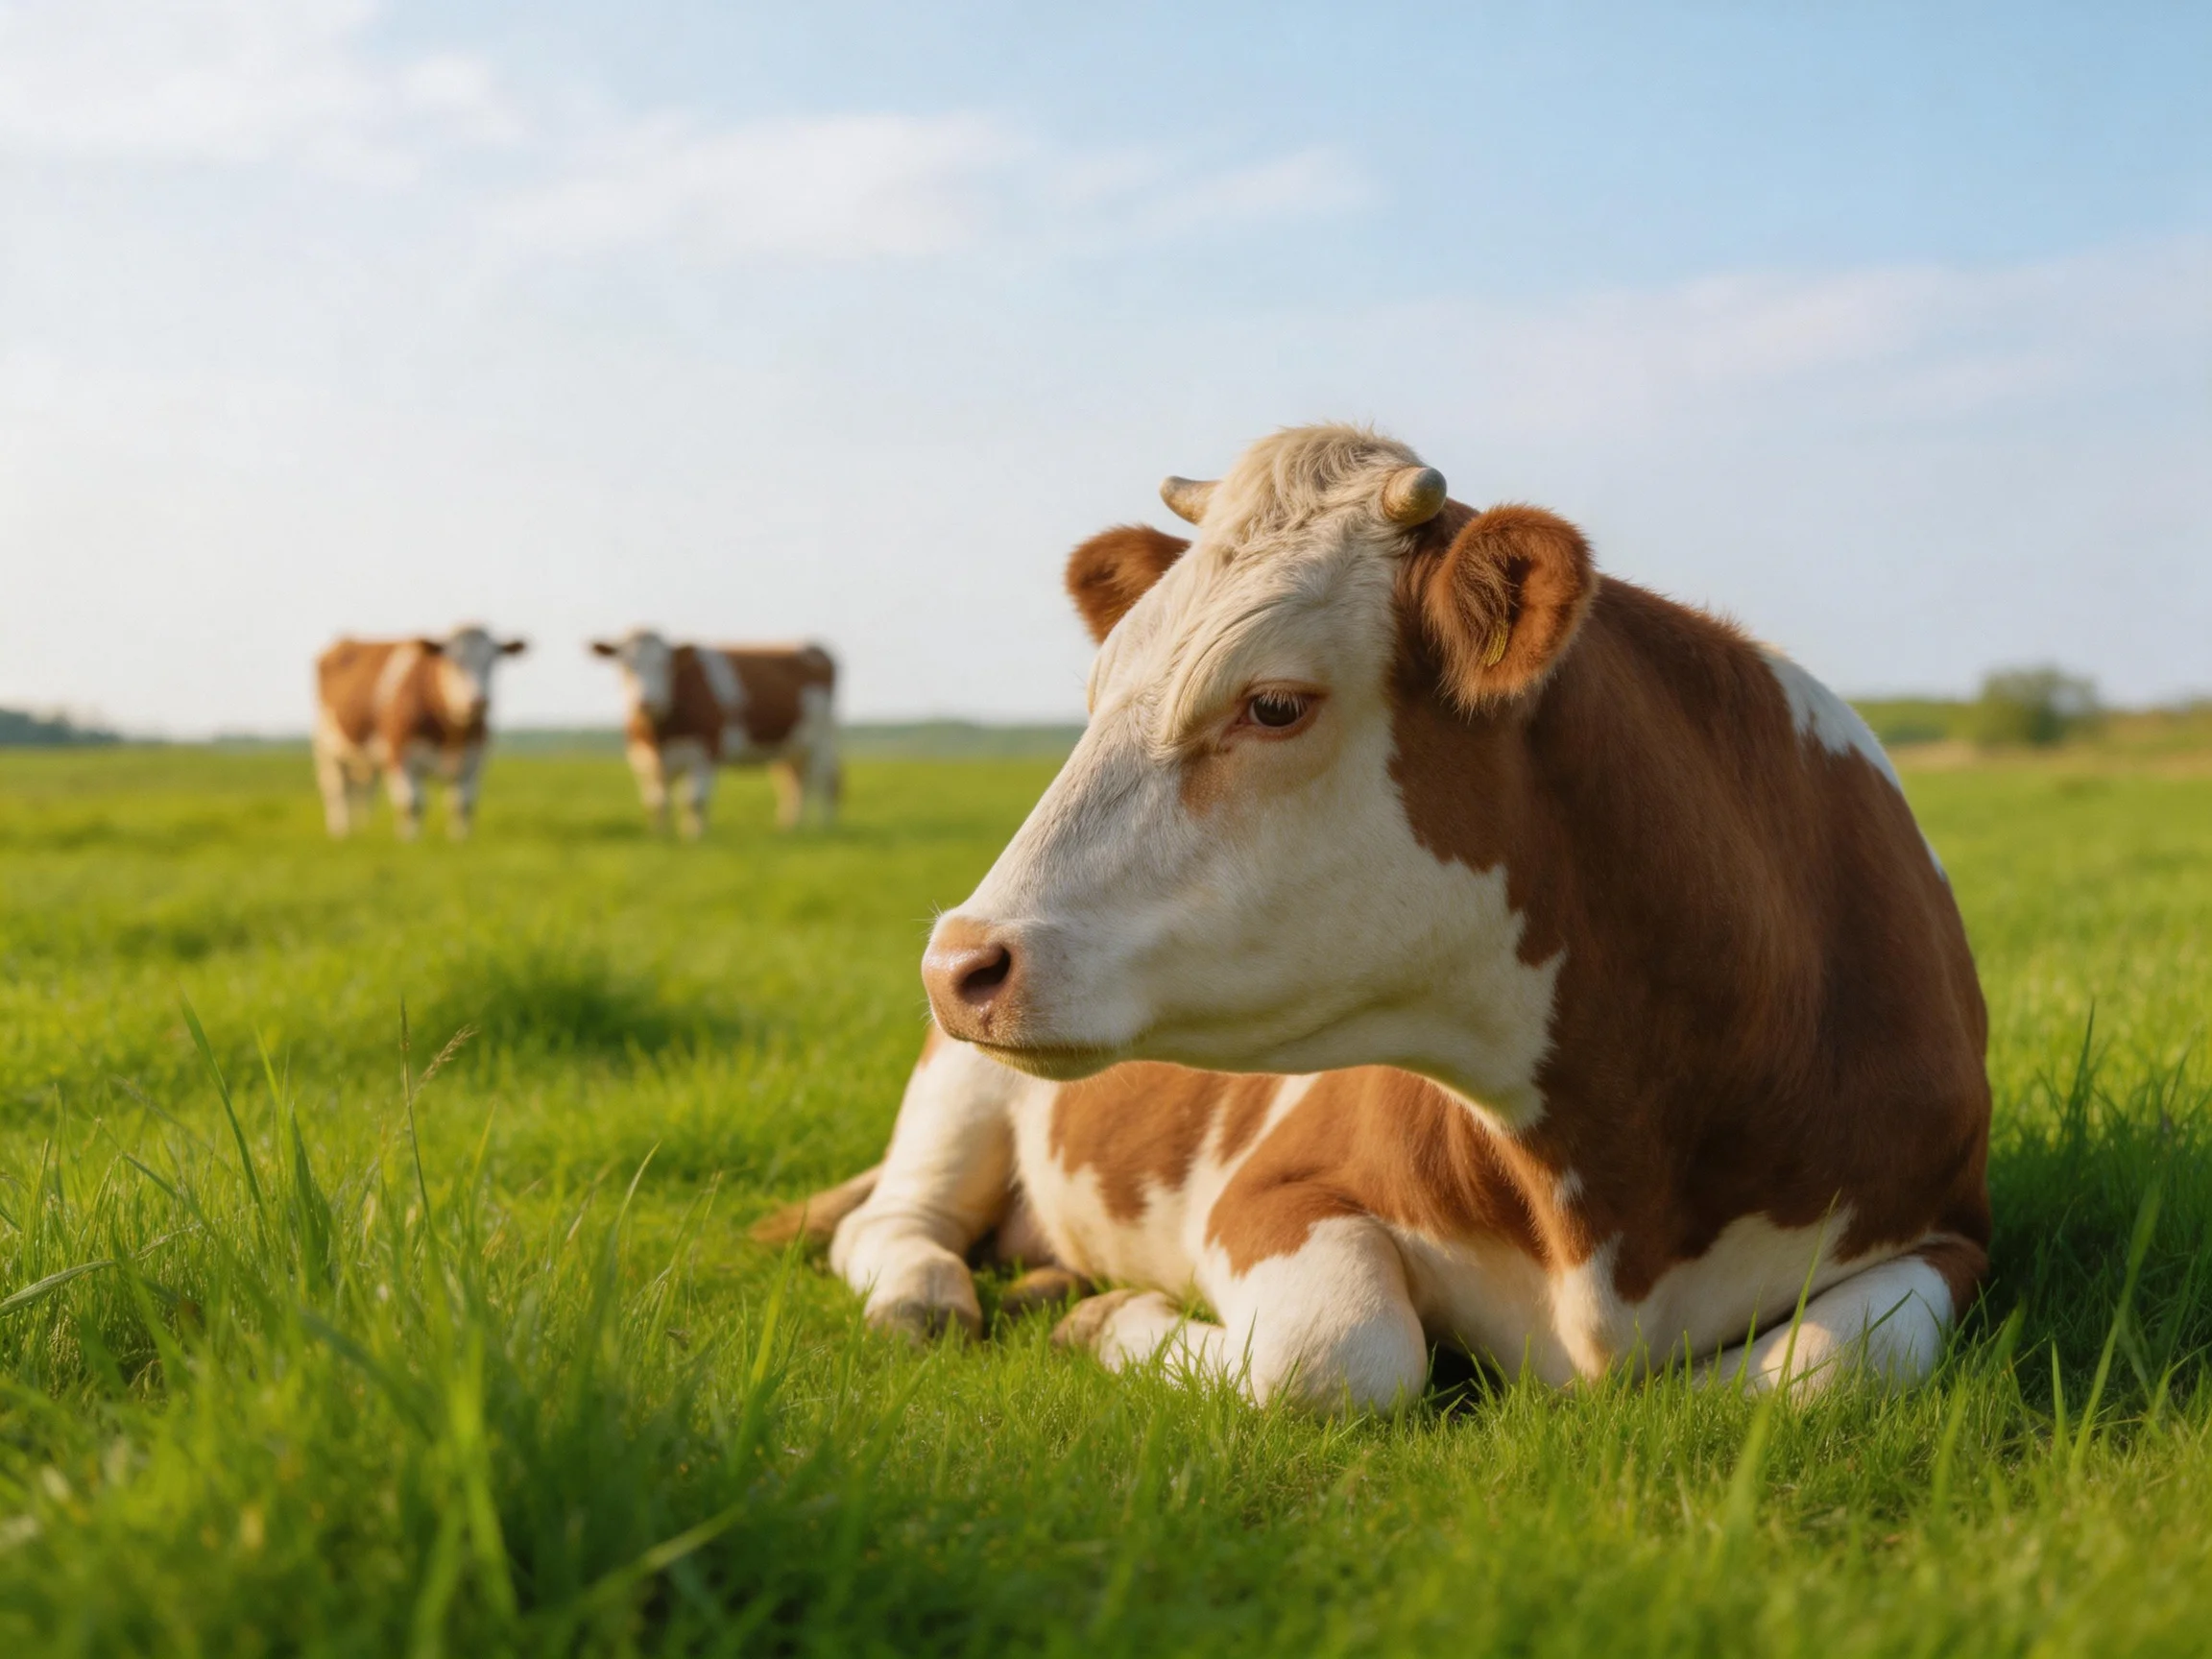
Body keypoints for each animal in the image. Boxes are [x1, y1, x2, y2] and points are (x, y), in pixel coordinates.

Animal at [313, 626, 528, 840]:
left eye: (492, 661)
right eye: (453, 661)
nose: (477, 702)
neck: (451, 732)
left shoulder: (472, 759)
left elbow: (463, 805)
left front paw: (460, 839)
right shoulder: (399, 755)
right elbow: (412, 803)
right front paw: (411, 840)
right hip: (327, 747)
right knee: (337, 789)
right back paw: (341, 831)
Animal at [589, 630, 840, 836]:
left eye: (665, 665)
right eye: (626, 665)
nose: (647, 702)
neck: (661, 732)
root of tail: (815, 648)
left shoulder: (707, 752)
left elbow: (695, 799)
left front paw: (695, 837)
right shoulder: (644, 758)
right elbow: (657, 802)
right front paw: (660, 836)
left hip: (822, 740)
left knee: (823, 781)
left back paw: (824, 827)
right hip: (790, 747)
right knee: (794, 783)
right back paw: (789, 827)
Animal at [757, 423, 1991, 1413]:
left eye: (1272, 704)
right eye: (1099, 693)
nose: (961, 961)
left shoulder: (1951, 1228)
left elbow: (1818, 1369)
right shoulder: (1276, 1190)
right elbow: (1341, 1353)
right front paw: (1111, 1322)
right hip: (956, 1091)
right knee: (894, 1224)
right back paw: (937, 1294)